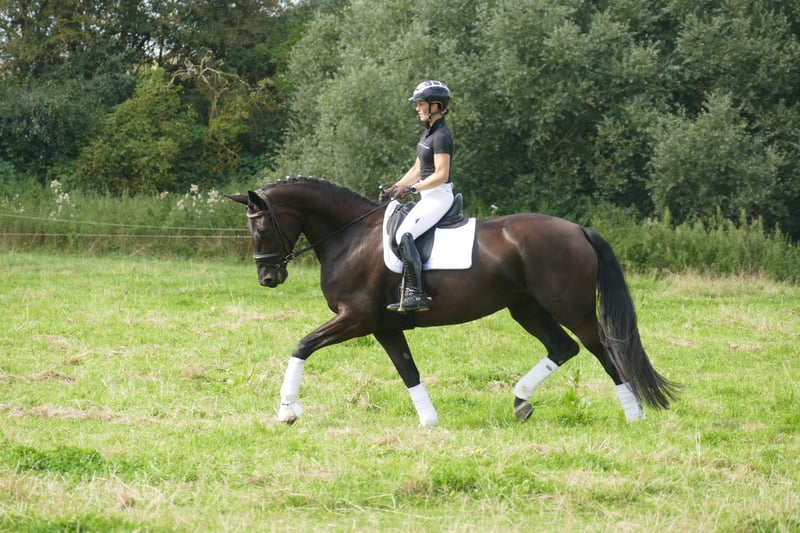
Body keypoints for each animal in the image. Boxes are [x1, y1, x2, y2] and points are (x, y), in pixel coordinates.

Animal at [228, 176, 678, 427]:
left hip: (571, 308)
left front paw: (287, 411)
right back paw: (520, 402)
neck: (350, 236)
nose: (268, 278)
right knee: (562, 347)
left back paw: (634, 413)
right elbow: (407, 370)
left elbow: (302, 345)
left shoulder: (356, 318)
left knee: (603, 348)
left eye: (261, 227)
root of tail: (579, 229)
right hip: (526, 307)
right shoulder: (384, 326)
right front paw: (428, 420)